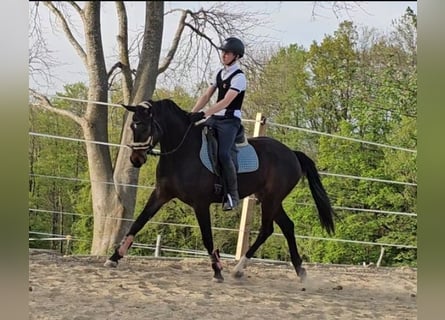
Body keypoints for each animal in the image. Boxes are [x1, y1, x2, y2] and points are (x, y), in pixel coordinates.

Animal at [104, 99, 332, 282]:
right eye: (132, 125)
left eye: (143, 126)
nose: (136, 159)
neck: (182, 151)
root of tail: (291, 153)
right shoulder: (161, 194)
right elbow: (138, 222)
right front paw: (114, 258)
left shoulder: (200, 204)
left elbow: (207, 237)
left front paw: (217, 271)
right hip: (269, 200)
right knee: (287, 226)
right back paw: (299, 270)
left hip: (271, 199)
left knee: (267, 229)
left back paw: (238, 269)